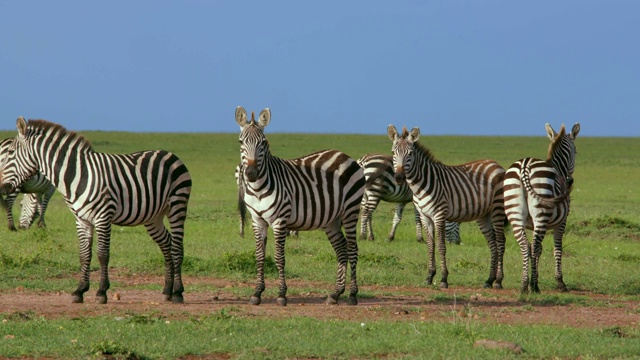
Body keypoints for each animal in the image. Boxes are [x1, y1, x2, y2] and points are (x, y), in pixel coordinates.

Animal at [0, 118, 191, 304]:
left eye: (10, 152)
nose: (2, 187)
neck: (76, 176)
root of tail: (169, 154)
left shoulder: (103, 217)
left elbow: (102, 254)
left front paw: (101, 292)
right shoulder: (81, 220)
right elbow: (84, 255)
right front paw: (79, 291)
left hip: (177, 205)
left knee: (177, 248)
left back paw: (178, 293)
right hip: (153, 216)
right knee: (167, 244)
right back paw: (167, 291)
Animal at [235, 107, 364, 306]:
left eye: (263, 143)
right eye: (241, 142)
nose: (250, 173)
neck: (258, 189)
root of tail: (344, 156)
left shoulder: (280, 221)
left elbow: (279, 257)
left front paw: (281, 295)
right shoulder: (258, 221)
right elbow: (259, 256)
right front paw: (257, 293)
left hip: (351, 210)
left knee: (352, 249)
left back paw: (352, 295)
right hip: (332, 220)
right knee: (342, 250)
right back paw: (335, 294)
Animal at [388, 125, 508, 288]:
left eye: (410, 153)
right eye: (393, 152)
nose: (399, 178)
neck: (421, 185)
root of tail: (496, 164)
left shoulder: (439, 215)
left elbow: (441, 246)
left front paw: (444, 279)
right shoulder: (425, 216)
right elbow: (430, 245)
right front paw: (429, 276)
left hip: (497, 210)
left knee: (501, 242)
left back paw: (499, 281)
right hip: (484, 215)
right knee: (493, 243)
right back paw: (489, 280)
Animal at [504, 122, 580, 294]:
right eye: (575, 151)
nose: (570, 181)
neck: (558, 168)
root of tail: (524, 166)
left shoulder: (532, 224)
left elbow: (537, 250)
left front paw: (535, 277)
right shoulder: (562, 222)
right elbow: (557, 249)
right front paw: (560, 282)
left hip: (515, 212)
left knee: (525, 246)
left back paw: (524, 284)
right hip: (542, 213)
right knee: (533, 247)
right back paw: (533, 286)